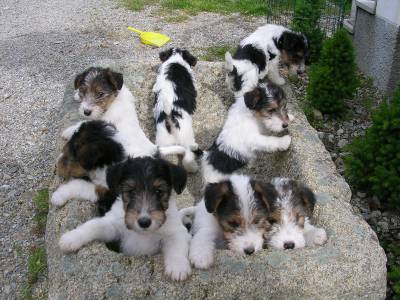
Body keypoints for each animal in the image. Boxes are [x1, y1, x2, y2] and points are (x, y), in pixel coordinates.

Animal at [57, 157, 192, 282]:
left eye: (159, 191)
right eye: (131, 191)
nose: (144, 222)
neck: (142, 234)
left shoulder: (175, 231)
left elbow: (177, 245)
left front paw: (178, 267)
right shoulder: (113, 227)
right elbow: (93, 225)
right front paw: (71, 238)